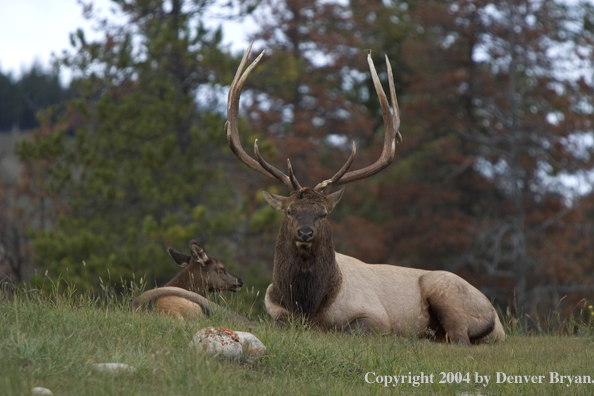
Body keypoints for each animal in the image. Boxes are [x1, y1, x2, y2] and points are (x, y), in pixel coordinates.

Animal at [224, 43, 502, 344]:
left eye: (323, 213)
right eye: (289, 211)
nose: (305, 233)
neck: (308, 306)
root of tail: (497, 320)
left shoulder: (375, 316)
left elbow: (351, 330)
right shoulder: (274, 312)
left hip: (446, 290)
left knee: (458, 337)